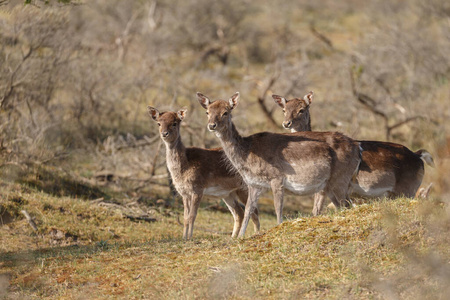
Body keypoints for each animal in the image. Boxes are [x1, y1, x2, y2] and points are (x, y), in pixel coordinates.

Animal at [148, 106, 260, 240]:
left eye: (174, 123)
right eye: (159, 123)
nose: (164, 133)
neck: (184, 168)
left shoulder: (197, 189)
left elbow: (192, 216)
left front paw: (189, 238)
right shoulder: (184, 193)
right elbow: (185, 217)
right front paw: (184, 238)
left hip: (244, 188)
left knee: (254, 211)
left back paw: (255, 234)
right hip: (228, 194)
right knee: (239, 213)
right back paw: (232, 237)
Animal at [197, 91, 362, 237]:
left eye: (225, 112)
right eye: (207, 112)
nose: (212, 125)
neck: (248, 156)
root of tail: (357, 147)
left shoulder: (277, 178)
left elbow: (278, 208)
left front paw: (278, 227)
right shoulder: (253, 184)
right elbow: (249, 209)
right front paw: (240, 237)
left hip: (341, 178)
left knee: (347, 205)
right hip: (330, 185)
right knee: (343, 205)